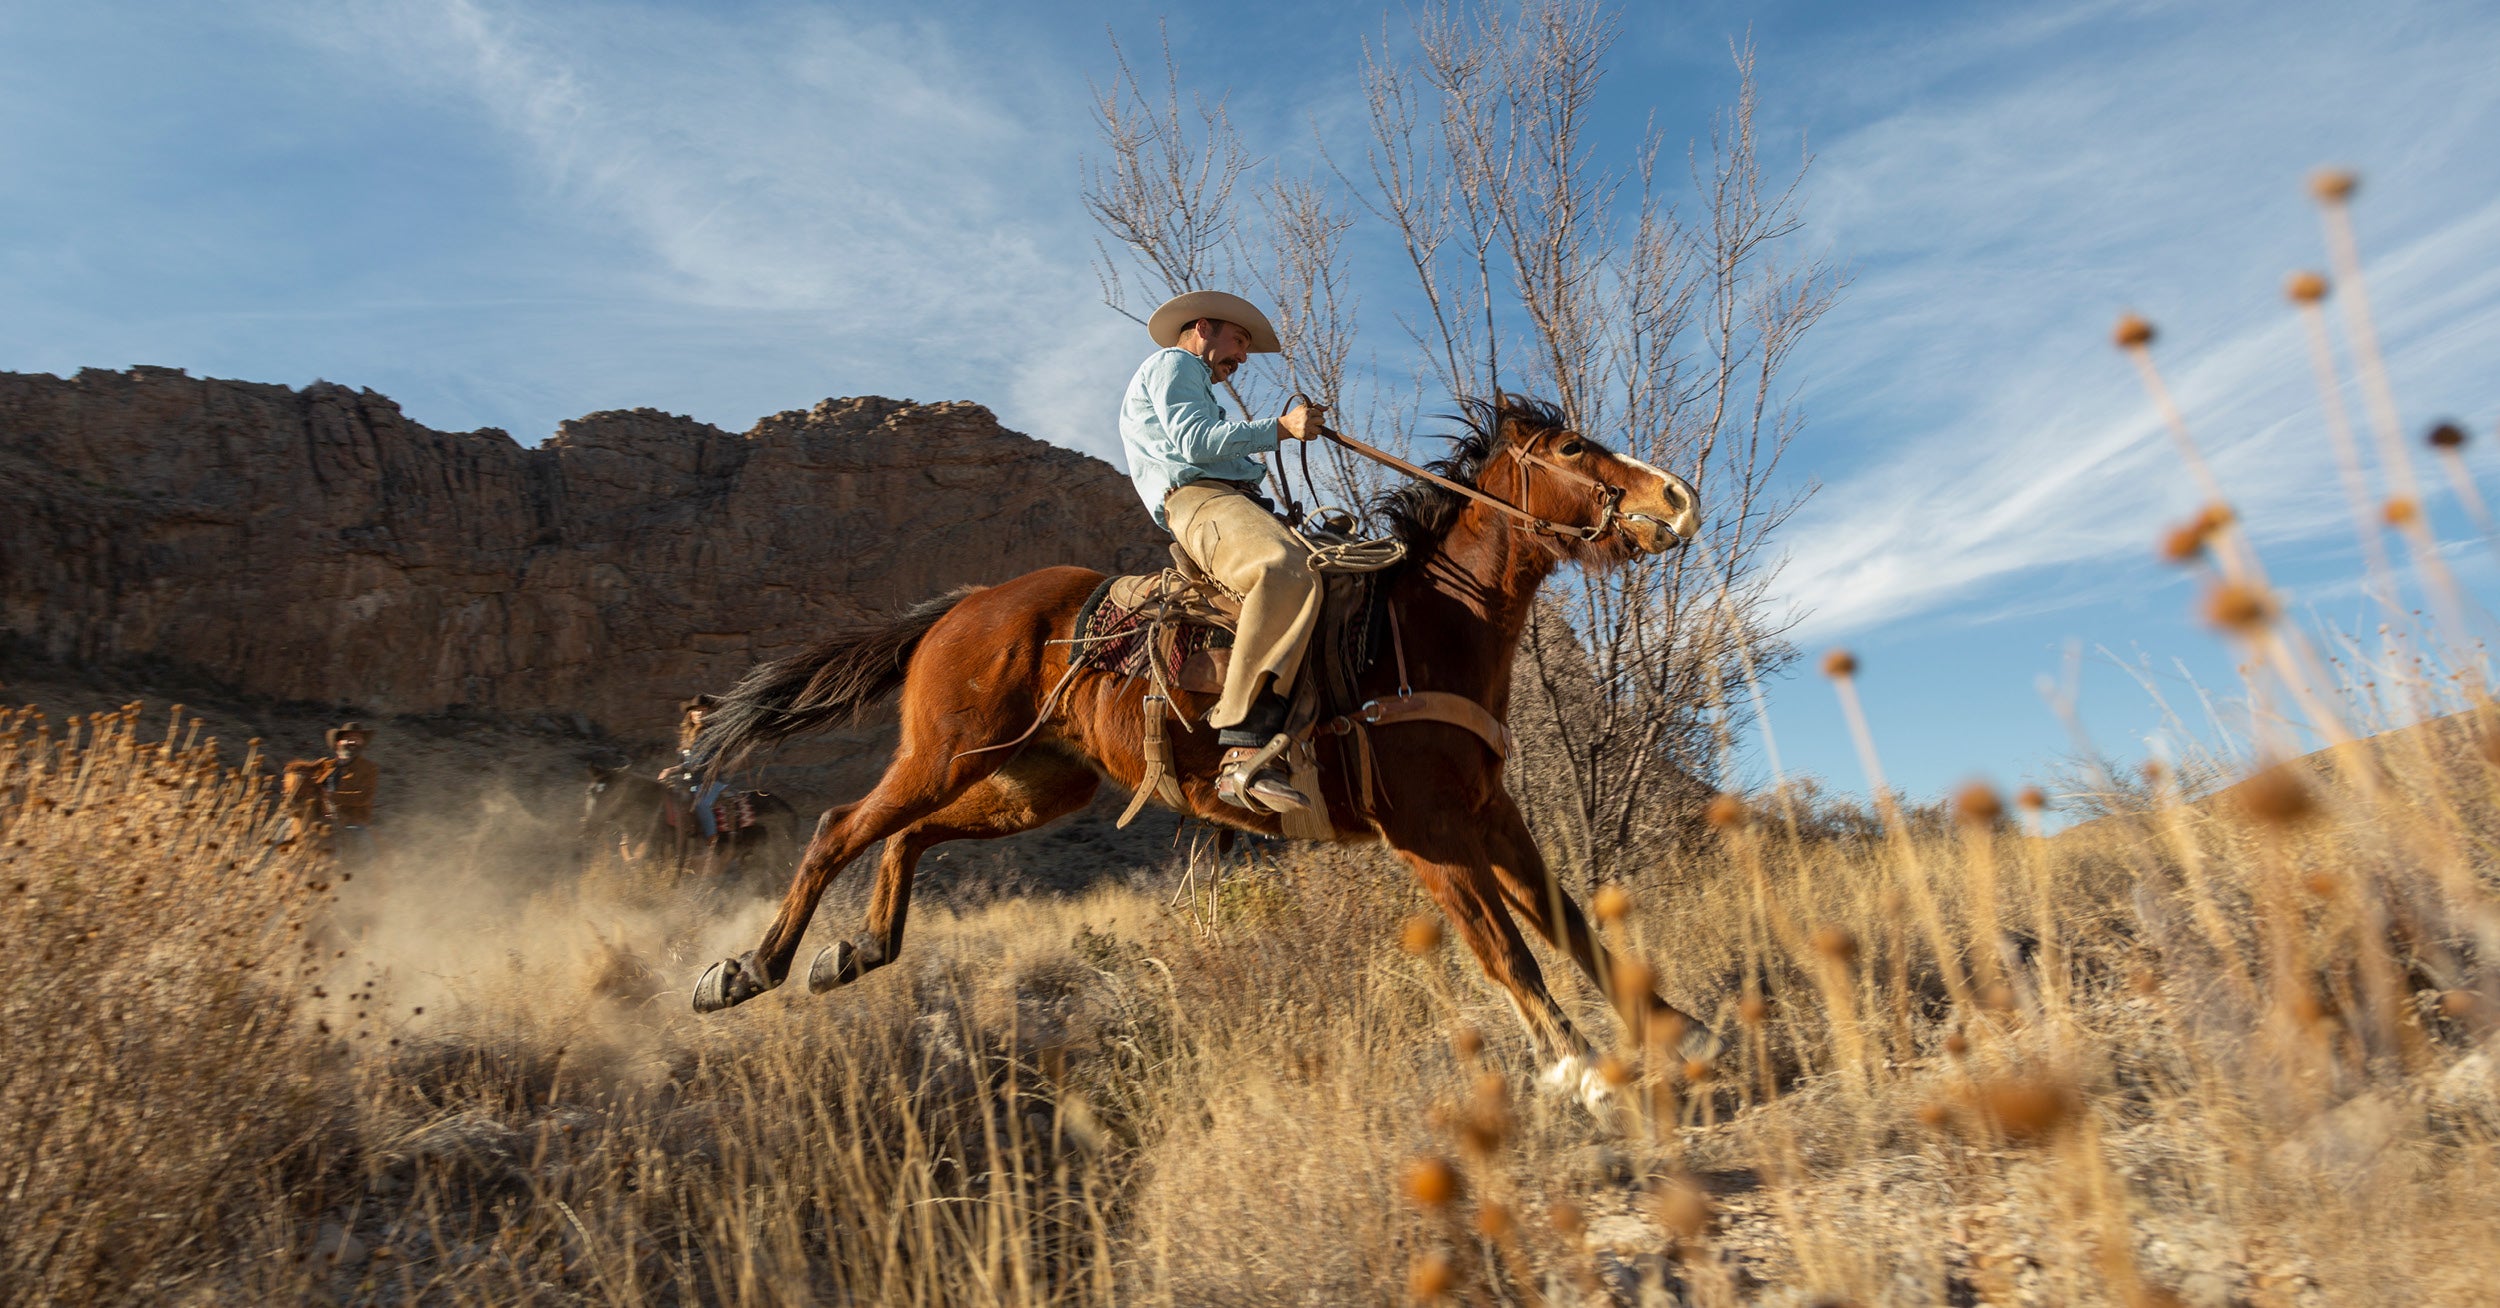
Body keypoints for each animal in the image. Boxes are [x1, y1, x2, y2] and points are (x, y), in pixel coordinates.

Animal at [582, 770, 800, 880]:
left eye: (610, 795)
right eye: (589, 793)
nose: (588, 827)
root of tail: (788, 809)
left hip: (779, 858)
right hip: (753, 861)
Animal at [695, 400, 1730, 1105]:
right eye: (1572, 450)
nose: (1679, 497)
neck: (1416, 627)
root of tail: (963, 605)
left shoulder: (1487, 814)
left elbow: (1572, 925)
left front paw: (1677, 1030)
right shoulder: (1427, 835)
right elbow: (1508, 951)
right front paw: (1580, 1068)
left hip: (1034, 784)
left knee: (908, 838)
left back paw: (857, 951)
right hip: (944, 755)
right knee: (840, 825)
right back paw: (747, 972)